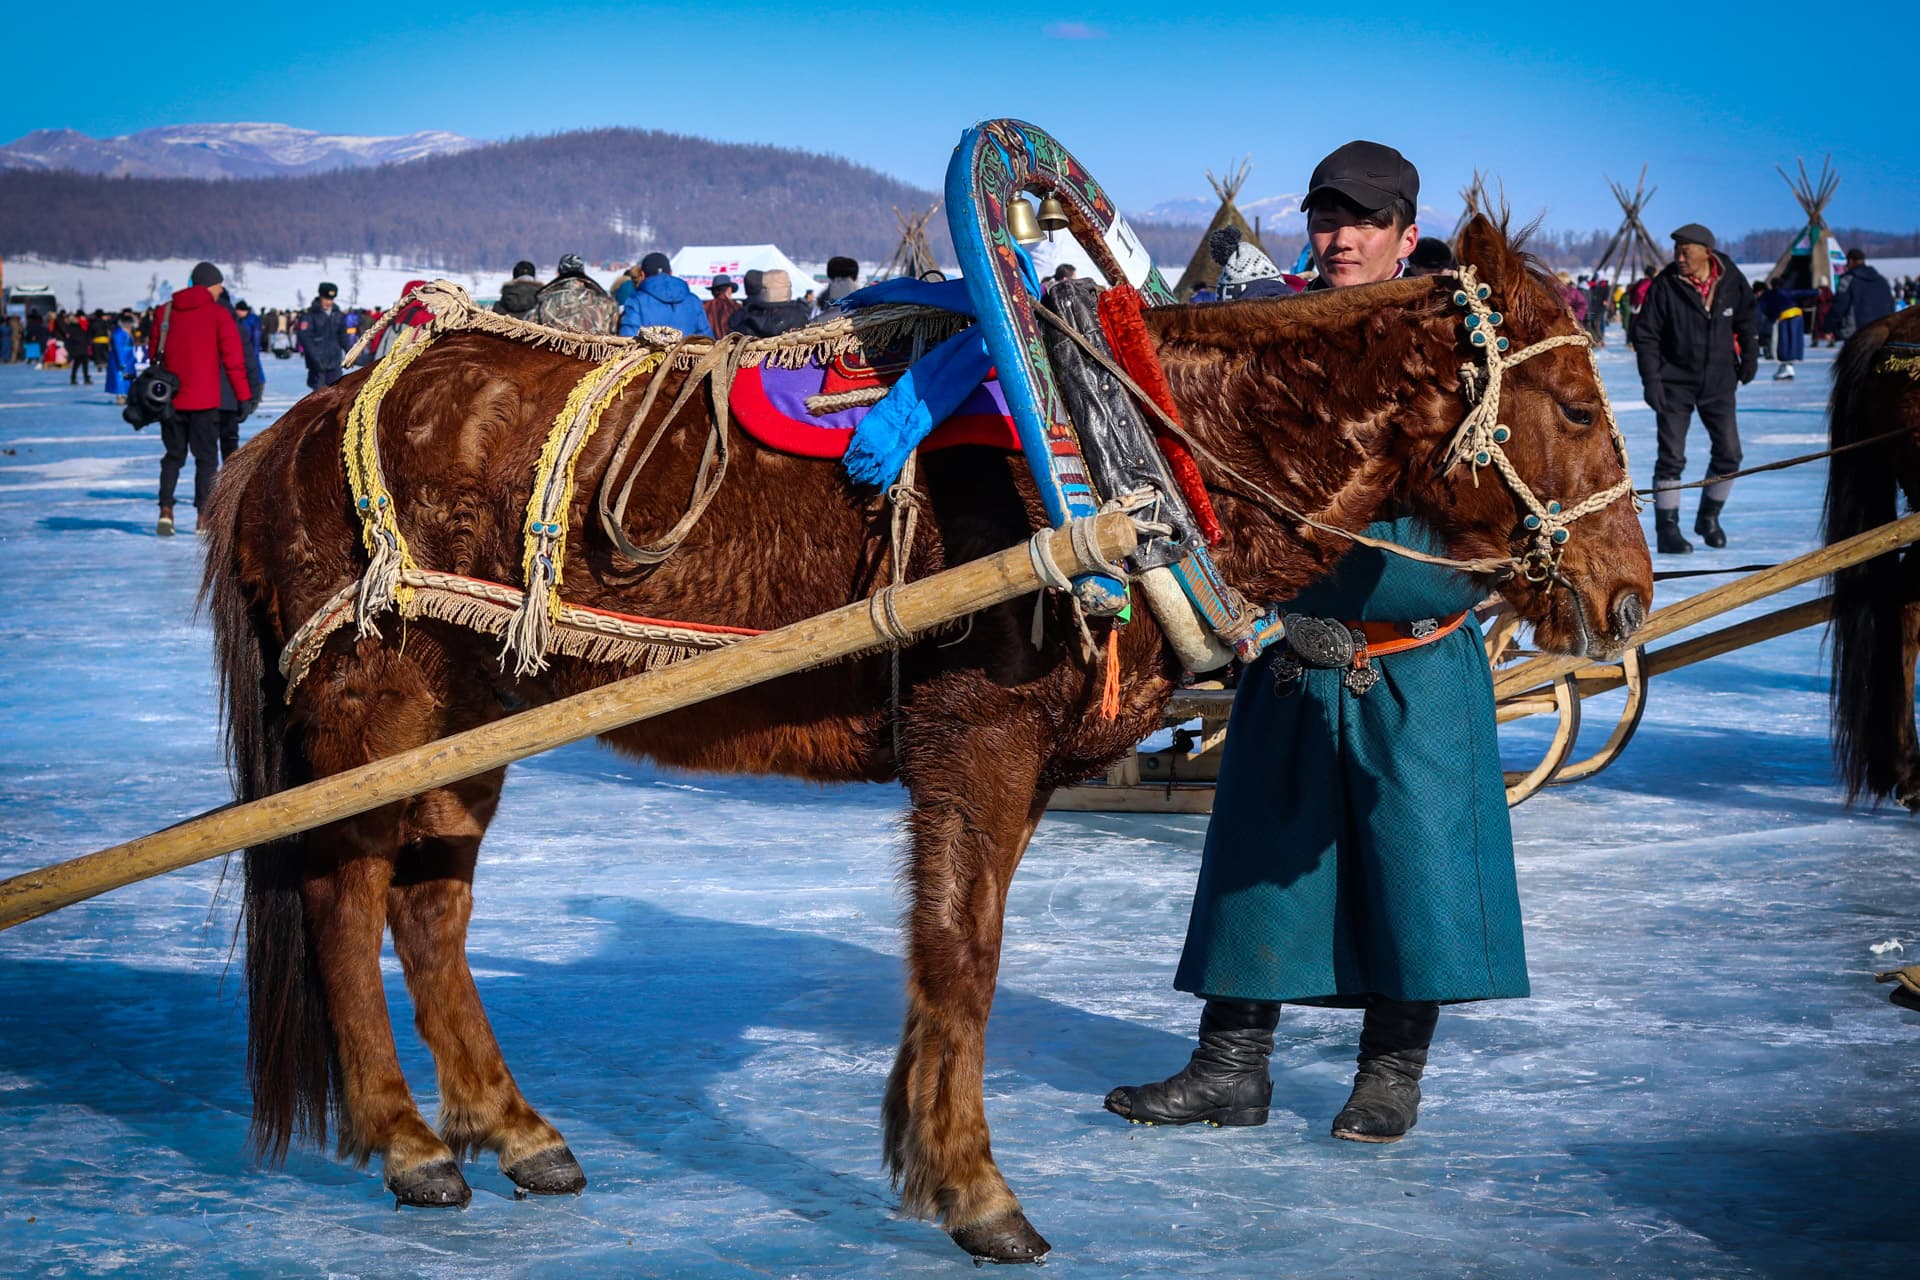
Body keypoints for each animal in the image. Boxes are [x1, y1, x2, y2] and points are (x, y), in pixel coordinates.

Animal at [202, 217, 1658, 1258]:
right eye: (1579, 411)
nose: (1631, 596)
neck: (1128, 459)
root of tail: (296, 426)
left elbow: (956, 949)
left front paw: (928, 1152)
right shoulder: (978, 740)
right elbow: (965, 956)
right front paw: (972, 1187)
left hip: (478, 710)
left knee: (429, 905)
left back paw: (514, 1131)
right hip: (377, 703)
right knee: (343, 892)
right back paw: (408, 1142)